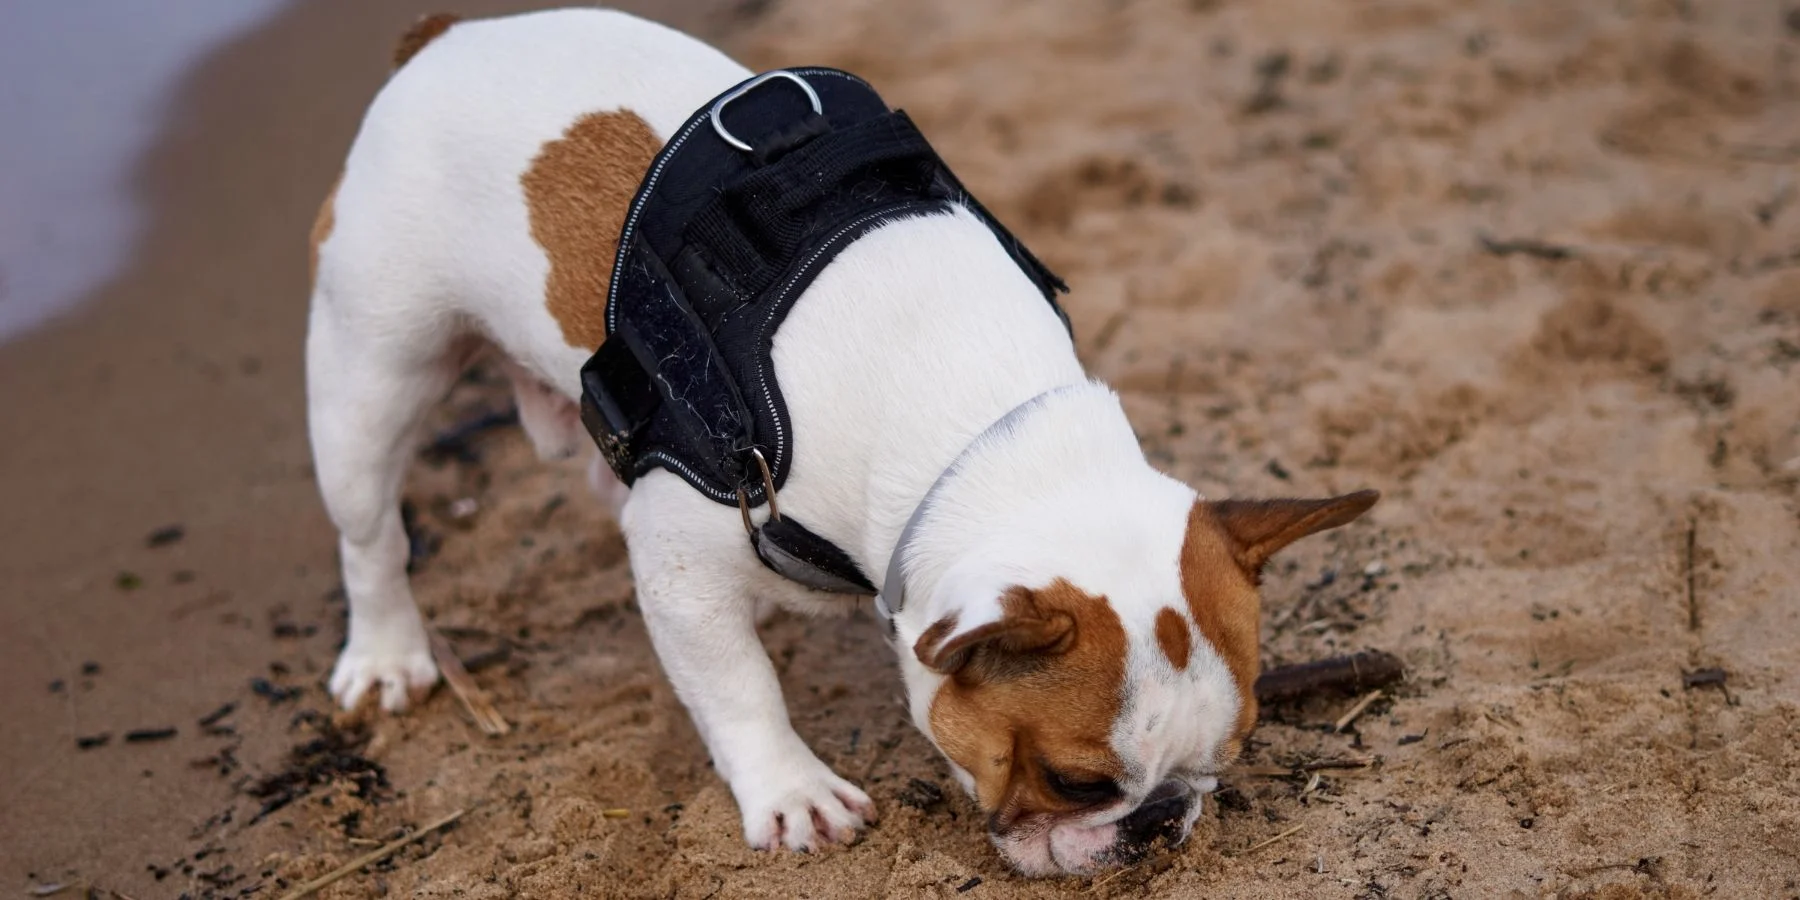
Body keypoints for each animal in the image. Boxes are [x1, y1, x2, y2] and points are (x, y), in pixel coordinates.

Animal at [309, 7, 1375, 874]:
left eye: (1223, 761)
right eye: (1076, 783)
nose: (1159, 822)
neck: (975, 428)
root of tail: (443, 38)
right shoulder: (684, 565)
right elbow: (738, 687)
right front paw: (792, 794)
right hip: (373, 367)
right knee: (369, 532)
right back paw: (387, 654)